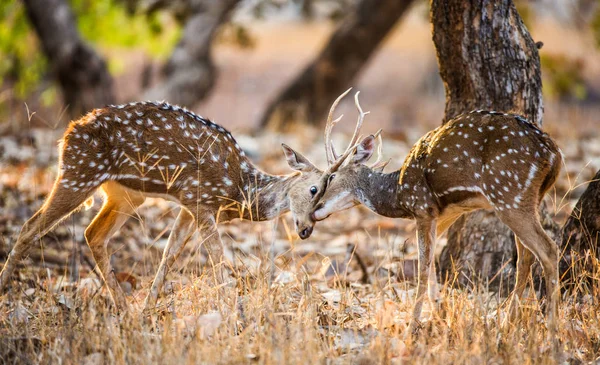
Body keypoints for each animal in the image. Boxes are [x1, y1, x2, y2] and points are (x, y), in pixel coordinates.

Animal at [0, 101, 338, 312]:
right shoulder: (199, 198)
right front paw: (235, 310)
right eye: (314, 189)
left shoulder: (189, 206)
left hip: (124, 194)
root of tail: (67, 135)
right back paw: (5, 291)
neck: (239, 189)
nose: (306, 230)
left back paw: (123, 309)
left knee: (93, 234)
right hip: (78, 173)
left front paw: (147, 310)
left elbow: (168, 256)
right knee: (31, 226)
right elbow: (217, 257)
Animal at [304, 89, 564, 334]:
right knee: (526, 256)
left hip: (509, 194)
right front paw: (439, 313)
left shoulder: (422, 207)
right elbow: (431, 264)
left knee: (548, 249)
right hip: (526, 198)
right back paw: (508, 323)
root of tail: (554, 155)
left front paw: (412, 326)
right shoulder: (446, 212)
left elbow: (422, 267)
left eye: (331, 177)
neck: (398, 193)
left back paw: (553, 330)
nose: (313, 212)